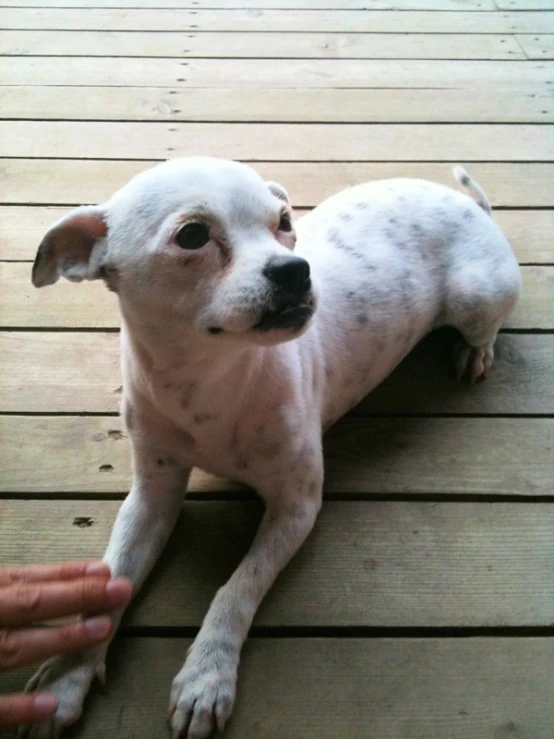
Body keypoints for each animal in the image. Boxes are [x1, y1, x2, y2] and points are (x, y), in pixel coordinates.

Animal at [24, 160, 516, 739]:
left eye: (283, 221)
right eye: (193, 235)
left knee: (484, 328)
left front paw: (206, 675)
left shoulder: (296, 506)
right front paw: (65, 677)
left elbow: (238, 586)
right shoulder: (151, 496)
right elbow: (110, 580)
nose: (296, 270)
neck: (208, 386)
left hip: (475, 296)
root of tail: (470, 206)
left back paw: (475, 352)